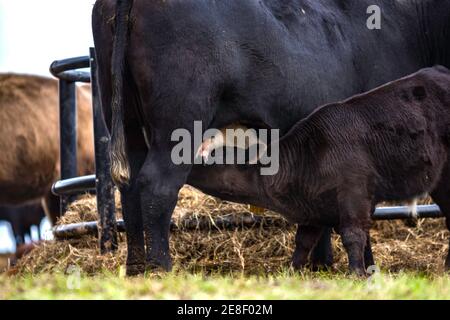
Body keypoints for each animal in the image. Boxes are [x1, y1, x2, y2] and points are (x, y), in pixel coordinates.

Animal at [92, 0, 450, 276]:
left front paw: (322, 265)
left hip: (126, 119)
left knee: (129, 187)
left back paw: (136, 267)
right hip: (178, 123)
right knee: (157, 186)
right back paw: (161, 268)